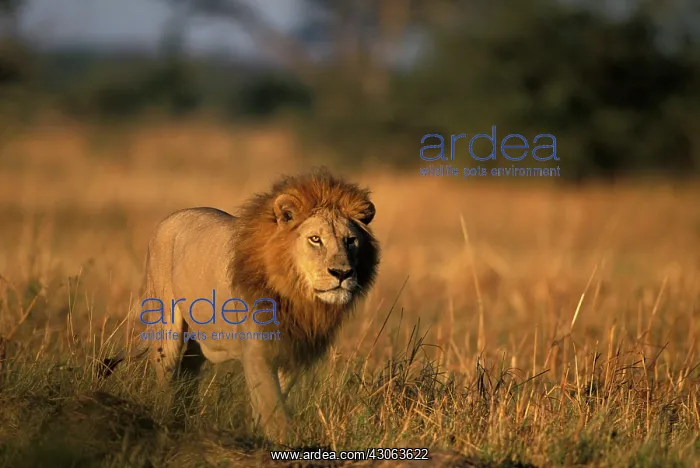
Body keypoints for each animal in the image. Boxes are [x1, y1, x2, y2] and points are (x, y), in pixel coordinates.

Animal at [100, 169, 380, 442]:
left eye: (350, 240)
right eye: (315, 239)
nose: (342, 273)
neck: (296, 295)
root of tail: (171, 217)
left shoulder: (292, 351)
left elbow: (272, 404)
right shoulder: (257, 350)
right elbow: (273, 408)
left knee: (188, 373)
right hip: (166, 324)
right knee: (165, 373)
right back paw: (164, 421)